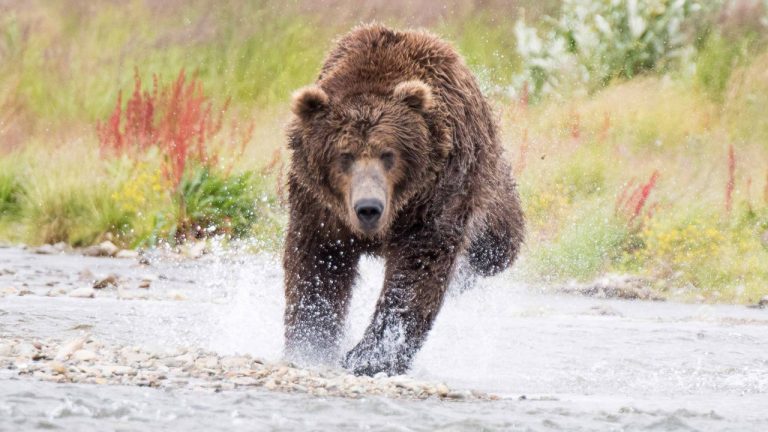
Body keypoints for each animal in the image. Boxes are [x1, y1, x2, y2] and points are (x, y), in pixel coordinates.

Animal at [284, 24, 524, 374]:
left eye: (389, 154)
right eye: (344, 156)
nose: (368, 208)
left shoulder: (435, 195)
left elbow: (416, 270)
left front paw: (368, 357)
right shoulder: (319, 206)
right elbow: (317, 265)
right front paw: (309, 344)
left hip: (487, 183)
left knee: (497, 245)